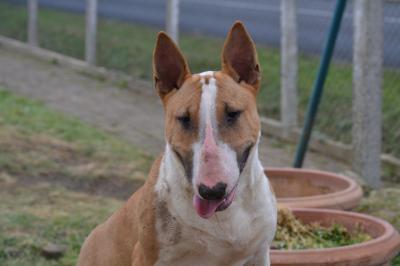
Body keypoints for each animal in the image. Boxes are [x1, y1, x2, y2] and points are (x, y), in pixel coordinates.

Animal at [78, 21, 278, 266]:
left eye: (233, 113)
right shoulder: (145, 256)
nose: (212, 191)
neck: (224, 215)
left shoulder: (260, 253)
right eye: (184, 118)